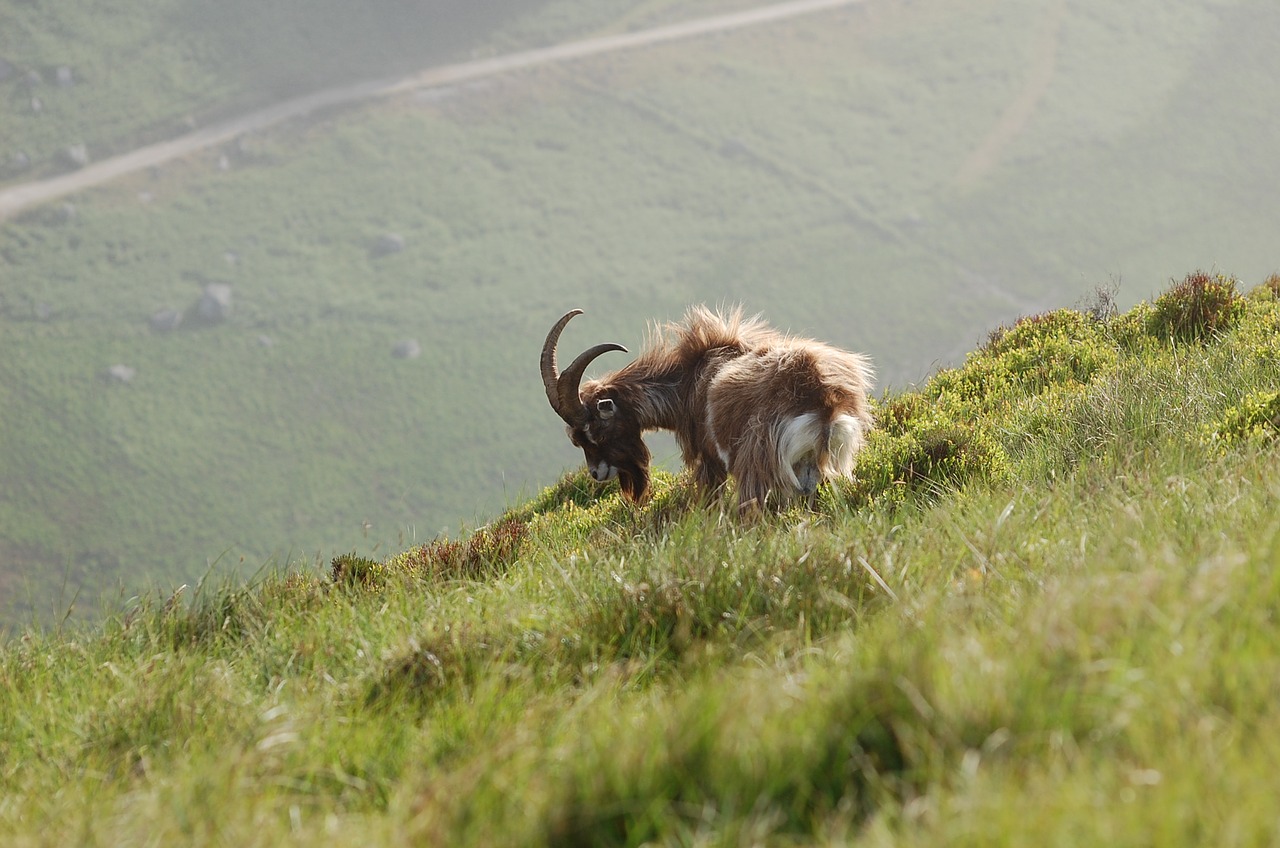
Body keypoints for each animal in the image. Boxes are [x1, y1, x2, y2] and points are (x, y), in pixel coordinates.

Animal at [535, 307, 875, 512]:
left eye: (596, 431)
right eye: (576, 439)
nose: (596, 473)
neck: (689, 382)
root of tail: (825, 401)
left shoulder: (710, 461)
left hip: (757, 461)